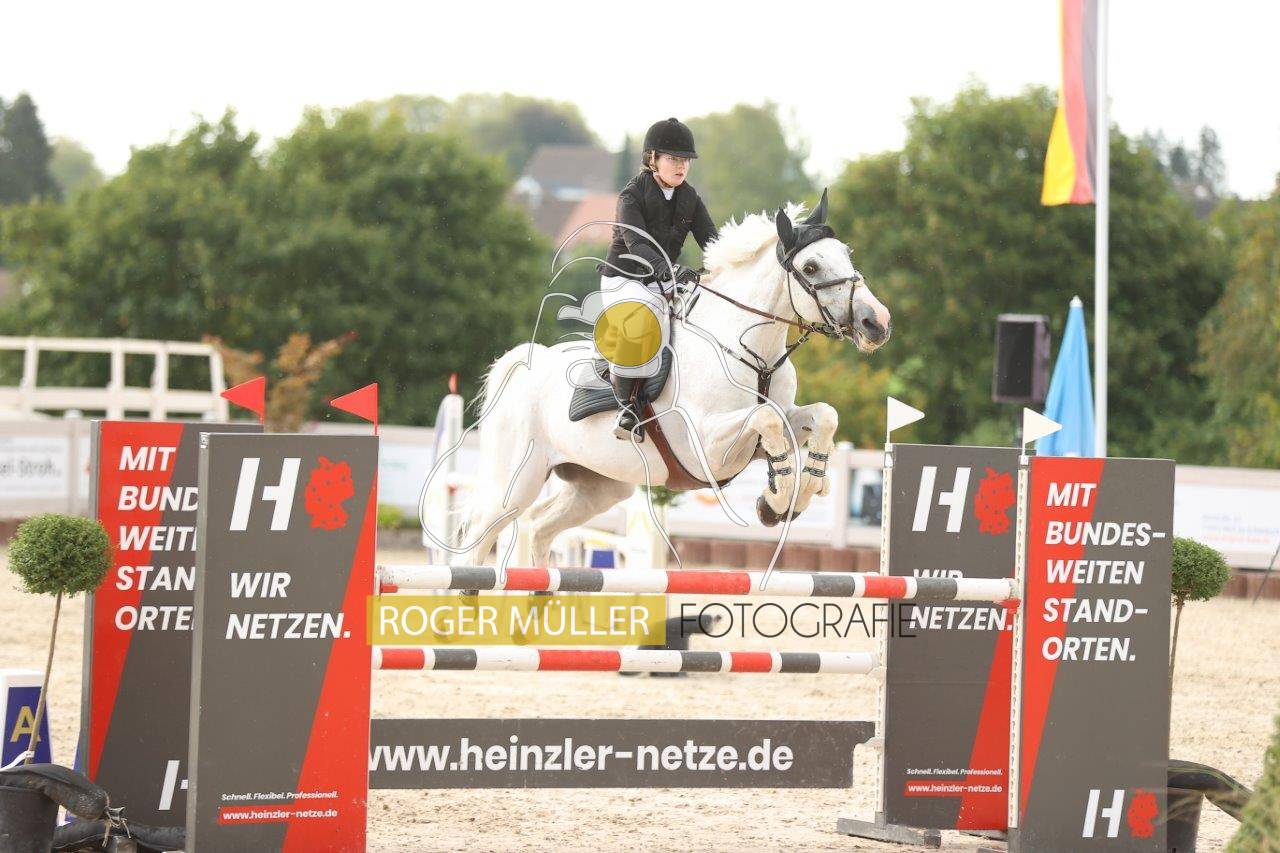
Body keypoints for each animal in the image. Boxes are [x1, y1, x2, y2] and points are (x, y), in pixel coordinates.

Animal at [440, 192, 891, 570]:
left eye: (848, 254)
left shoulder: (784, 418)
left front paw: (803, 489)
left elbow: (822, 416)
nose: (877, 322)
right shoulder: (706, 447)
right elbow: (766, 421)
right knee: (477, 539)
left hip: (597, 487)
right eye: (811, 267)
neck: (749, 348)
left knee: (538, 526)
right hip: (514, 483)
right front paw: (777, 500)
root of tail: (519, 366)